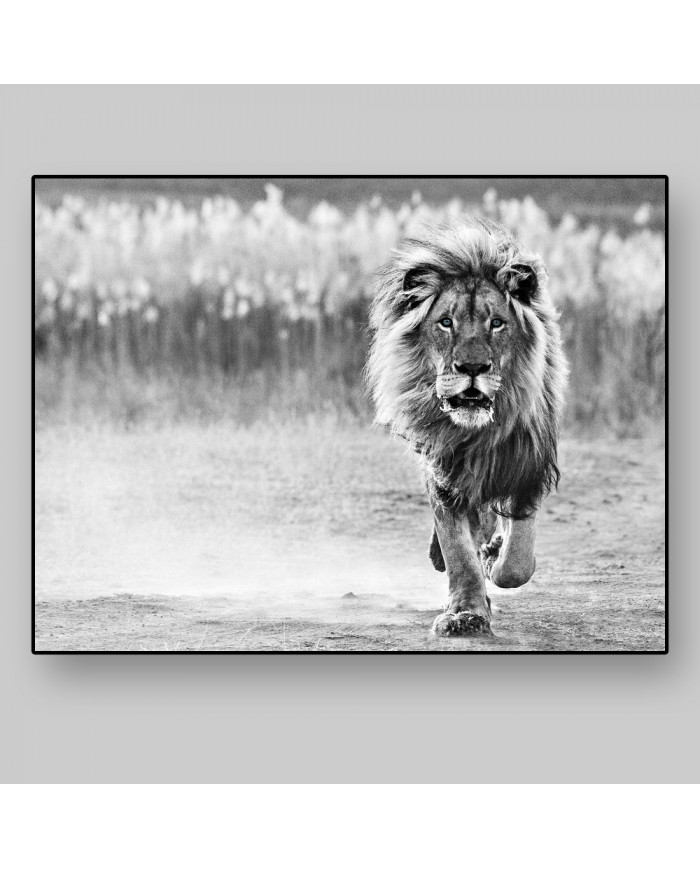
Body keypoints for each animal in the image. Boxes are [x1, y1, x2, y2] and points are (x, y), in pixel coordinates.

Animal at [366, 217, 568, 636]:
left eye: (497, 324)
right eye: (446, 323)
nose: (472, 367)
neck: (478, 433)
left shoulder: (528, 466)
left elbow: (517, 561)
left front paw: (495, 560)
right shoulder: (445, 473)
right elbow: (459, 551)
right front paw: (466, 613)